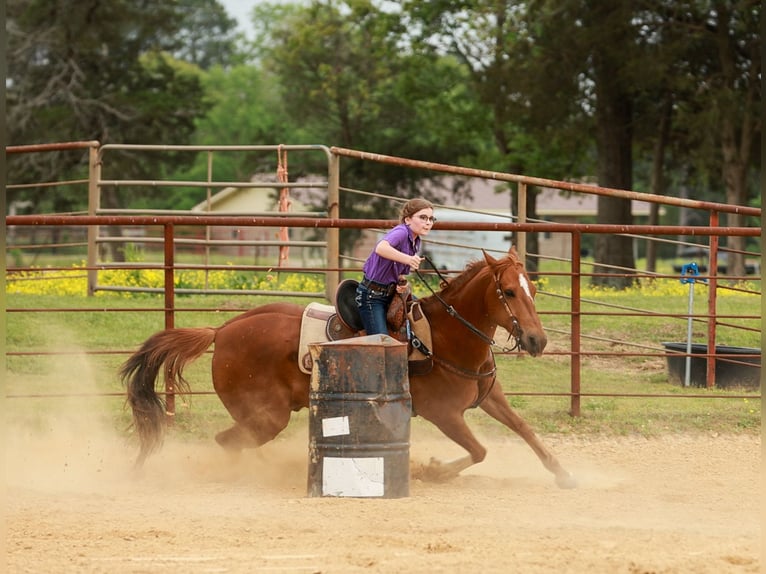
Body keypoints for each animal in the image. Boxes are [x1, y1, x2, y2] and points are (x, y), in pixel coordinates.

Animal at [120, 246, 576, 488]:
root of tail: (223, 330)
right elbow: (479, 450)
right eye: (508, 292)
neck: (447, 336)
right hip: (268, 415)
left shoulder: (490, 396)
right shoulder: (445, 414)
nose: (537, 341)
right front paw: (431, 470)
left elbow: (524, 430)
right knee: (228, 441)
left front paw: (562, 473)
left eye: (533, 291)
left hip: (261, 416)